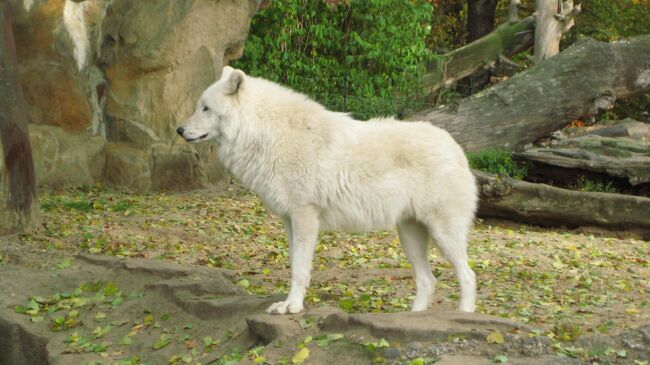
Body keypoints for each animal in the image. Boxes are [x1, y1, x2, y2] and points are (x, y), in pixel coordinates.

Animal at [177, 65, 476, 312]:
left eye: (205, 108)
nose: (180, 130)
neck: (268, 135)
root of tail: (456, 146)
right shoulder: (290, 221)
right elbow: (294, 265)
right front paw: (288, 303)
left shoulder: (305, 217)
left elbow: (299, 270)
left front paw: (292, 307)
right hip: (410, 235)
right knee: (428, 280)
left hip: (443, 233)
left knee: (468, 276)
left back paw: (463, 316)